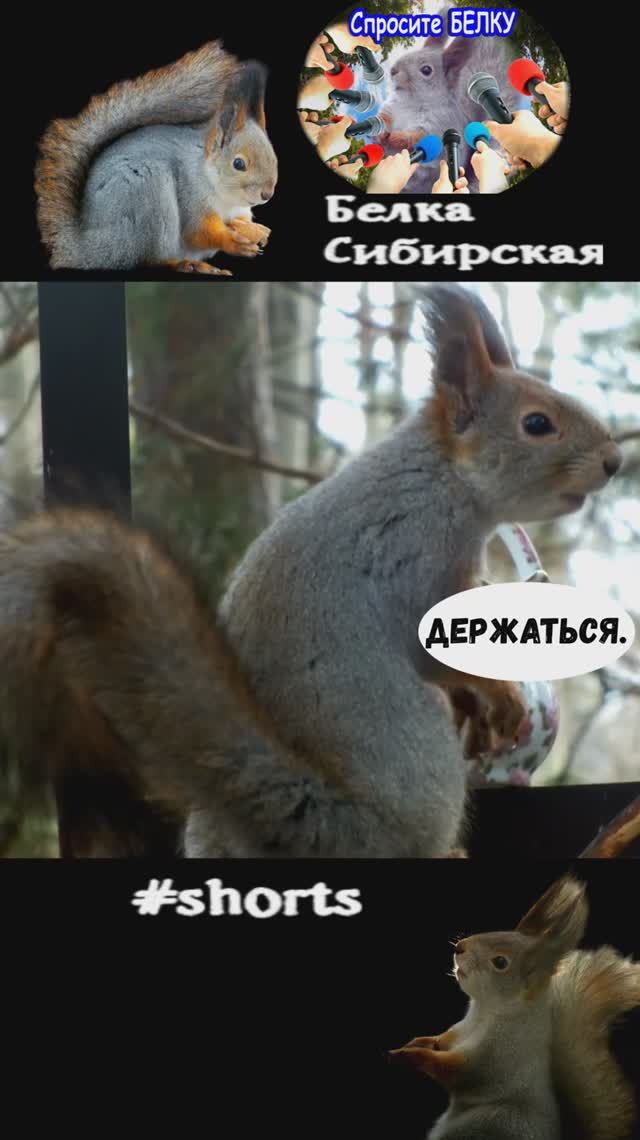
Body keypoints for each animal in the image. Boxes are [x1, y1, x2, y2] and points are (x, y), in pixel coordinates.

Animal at [0, 287, 623, 857]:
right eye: (537, 424)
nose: (614, 463)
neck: (445, 478)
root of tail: (310, 825)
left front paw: (484, 705)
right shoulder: (414, 555)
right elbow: (431, 649)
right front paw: (498, 693)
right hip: (416, 756)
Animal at [34, 42, 278, 274]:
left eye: (274, 159)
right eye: (238, 164)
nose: (266, 194)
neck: (225, 195)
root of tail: (87, 246)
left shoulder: (239, 210)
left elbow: (240, 221)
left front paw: (257, 230)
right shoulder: (192, 195)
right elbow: (198, 232)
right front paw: (233, 242)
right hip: (149, 195)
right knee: (149, 258)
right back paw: (188, 265)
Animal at [390, 876, 640, 1140]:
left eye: (500, 962)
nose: (460, 947)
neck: (485, 1011)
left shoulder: (497, 1055)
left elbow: (456, 1071)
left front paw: (409, 1055)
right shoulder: (460, 1030)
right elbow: (441, 1041)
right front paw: (417, 1042)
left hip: (488, 1123)